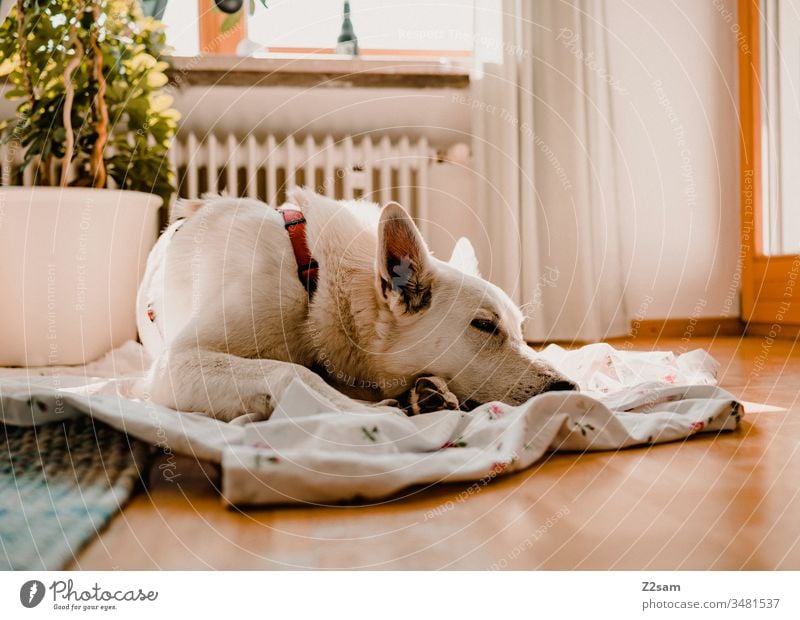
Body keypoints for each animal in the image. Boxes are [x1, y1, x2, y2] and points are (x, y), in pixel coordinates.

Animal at [138, 188, 576, 422]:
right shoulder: (175, 366)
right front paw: (374, 413)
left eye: (520, 331)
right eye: (484, 326)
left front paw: (427, 393)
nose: (569, 387)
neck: (314, 285)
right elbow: (292, 372)